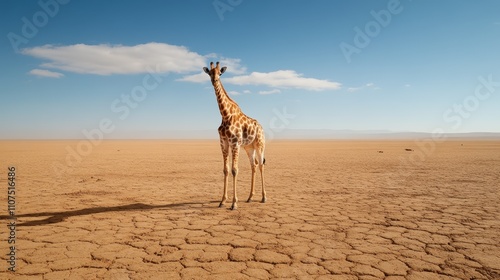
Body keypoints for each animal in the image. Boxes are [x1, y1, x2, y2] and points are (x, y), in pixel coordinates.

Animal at [202, 61, 266, 210]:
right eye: (210, 73)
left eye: (220, 73)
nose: (214, 80)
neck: (225, 115)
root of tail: (261, 127)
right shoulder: (224, 142)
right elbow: (225, 170)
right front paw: (222, 201)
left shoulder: (235, 142)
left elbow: (234, 170)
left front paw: (234, 203)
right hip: (249, 147)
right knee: (254, 165)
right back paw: (250, 197)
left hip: (260, 145)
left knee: (261, 165)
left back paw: (263, 197)